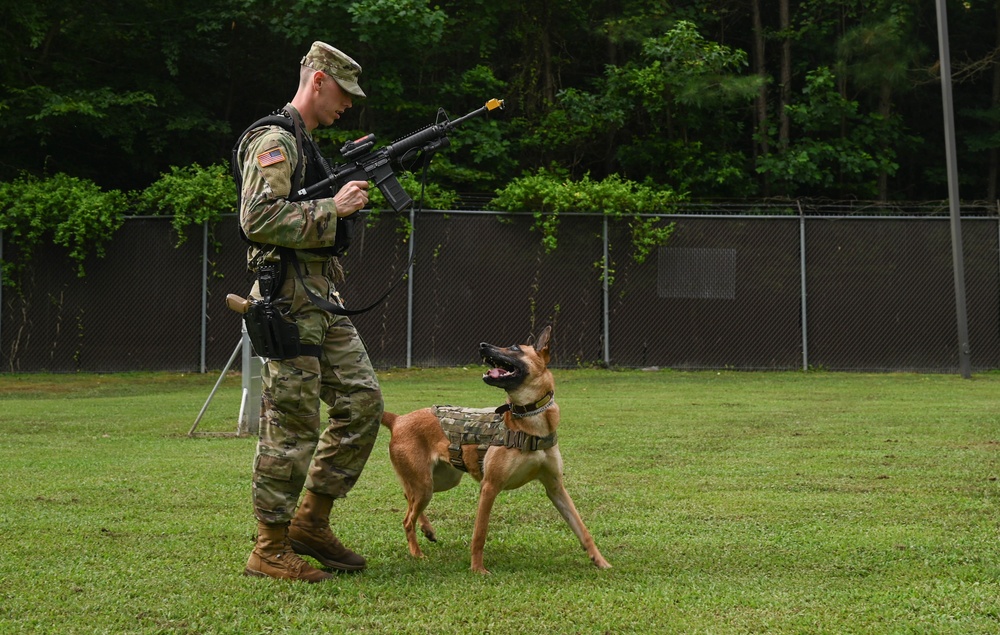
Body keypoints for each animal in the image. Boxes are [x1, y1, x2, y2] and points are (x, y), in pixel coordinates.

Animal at [378, 328, 608, 576]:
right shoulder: (489, 487)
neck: (528, 419)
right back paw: (417, 553)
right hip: (425, 485)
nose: (482, 345)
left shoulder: (555, 487)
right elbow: (480, 534)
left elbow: (582, 528)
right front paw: (478, 569)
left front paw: (600, 561)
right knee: (407, 518)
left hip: (441, 481)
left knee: (408, 497)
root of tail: (398, 419)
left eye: (515, 347)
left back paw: (427, 530)